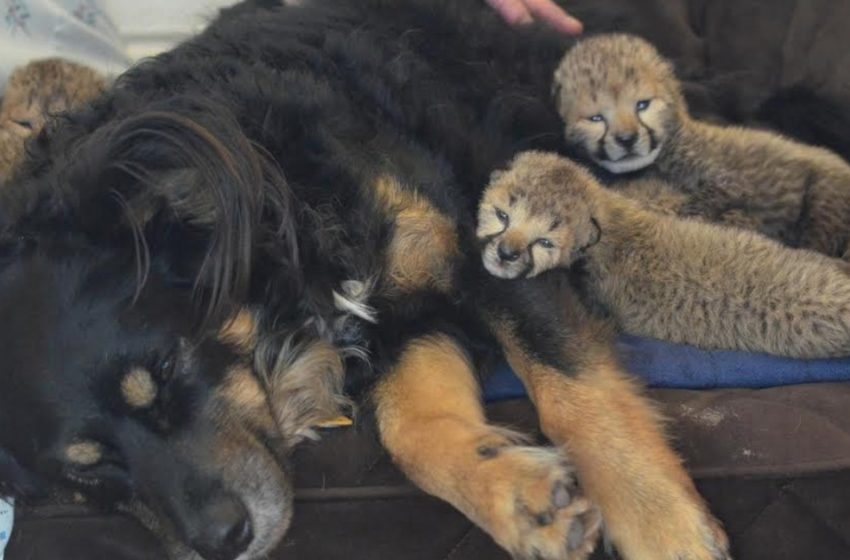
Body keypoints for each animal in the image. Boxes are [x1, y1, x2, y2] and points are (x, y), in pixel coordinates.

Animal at [0, 1, 740, 560]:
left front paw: (663, 530)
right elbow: (410, 429)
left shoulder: (495, 245)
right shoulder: (401, 324)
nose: (223, 542)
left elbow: (572, 393)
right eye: (85, 470)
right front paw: (518, 495)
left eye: (166, 365)